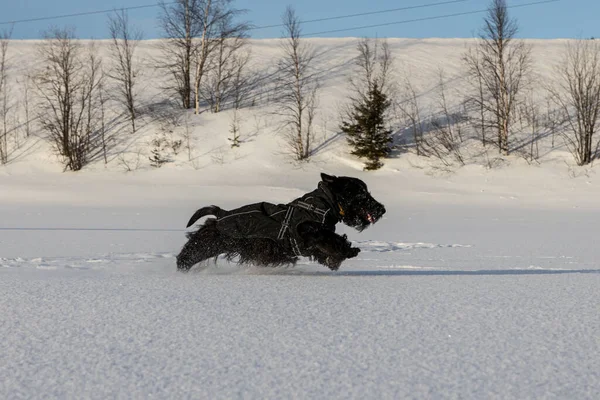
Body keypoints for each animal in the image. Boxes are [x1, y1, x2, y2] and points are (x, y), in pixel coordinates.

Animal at [176, 173, 386, 272]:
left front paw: (334, 260)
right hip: (210, 242)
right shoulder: (310, 230)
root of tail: (221, 213)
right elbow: (334, 240)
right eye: (361, 194)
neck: (326, 203)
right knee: (187, 254)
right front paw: (349, 251)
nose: (381, 209)